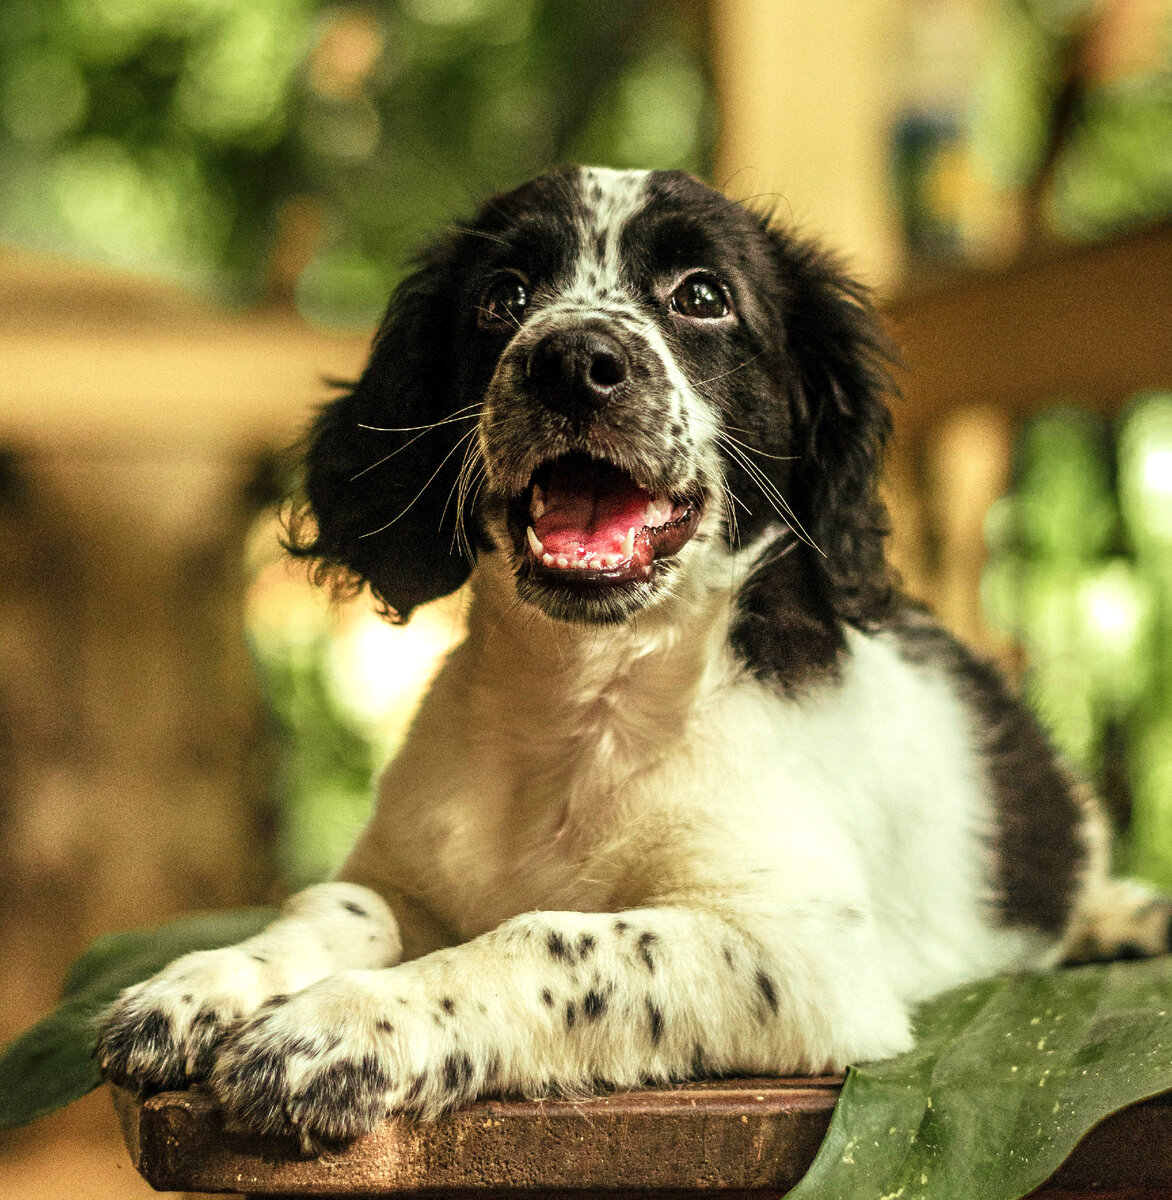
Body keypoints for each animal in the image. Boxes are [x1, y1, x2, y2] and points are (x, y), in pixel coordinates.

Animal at [95, 166, 1166, 1142]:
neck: (587, 707)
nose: (573, 360)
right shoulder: (402, 875)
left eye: (702, 295)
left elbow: (555, 939)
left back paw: (1121, 919)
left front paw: (349, 1022)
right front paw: (207, 981)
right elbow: (337, 905)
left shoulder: (804, 953)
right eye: (503, 297)